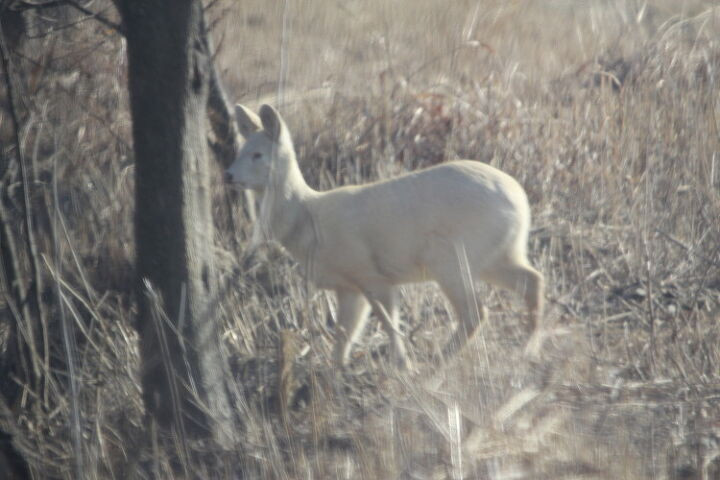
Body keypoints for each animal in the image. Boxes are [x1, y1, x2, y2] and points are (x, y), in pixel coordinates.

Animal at [226, 103, 544, 370]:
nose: (228, 175)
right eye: (240, 150)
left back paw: (437, 365)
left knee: (476, 312)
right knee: (532, 280)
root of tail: (520, 202)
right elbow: (345, 334)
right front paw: (335, 374)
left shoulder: (371, 273)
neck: (308, 220)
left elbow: (388, 323)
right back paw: (527, 350)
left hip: (450, 258)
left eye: (258, 154)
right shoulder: (348, 286)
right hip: (498, 254)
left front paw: (402, 366)